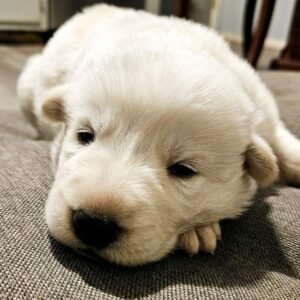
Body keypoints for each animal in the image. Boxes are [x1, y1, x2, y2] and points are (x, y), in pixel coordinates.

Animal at [17, 4, 300, 266]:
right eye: (85, 136)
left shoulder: (266, 114)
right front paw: (199, 230)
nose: (93, 224)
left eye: (183, 170)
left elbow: (287, 148)